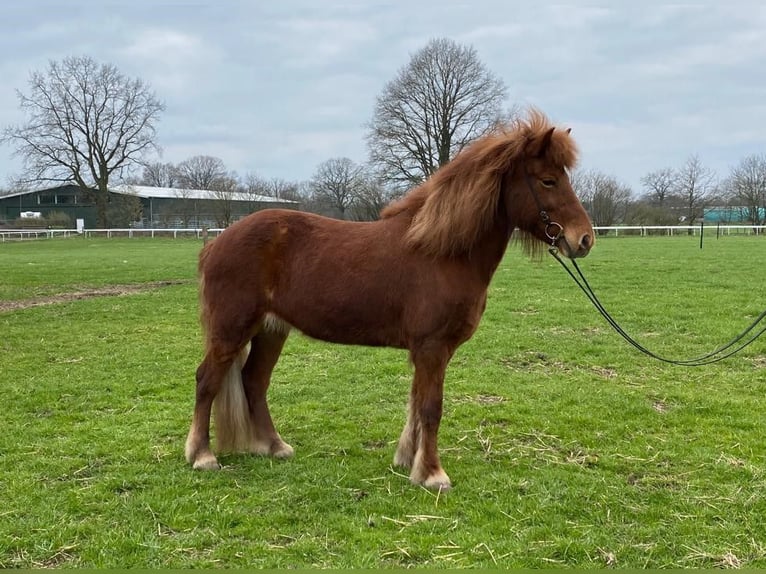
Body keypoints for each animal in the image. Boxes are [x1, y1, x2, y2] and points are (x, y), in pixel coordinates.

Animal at [185, 109, 594, 490]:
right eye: (548, 180)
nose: (584, 239)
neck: (441, 251)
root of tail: (215, 244)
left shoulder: (431, 350)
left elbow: (415, 403)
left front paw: (409, 460)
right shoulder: (431, 347)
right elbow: (430, 408)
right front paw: (433, 474)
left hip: (271, 330)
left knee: (254, 381)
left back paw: (274, 446)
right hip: (231, 330)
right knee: (208, 380)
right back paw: (203, 456)